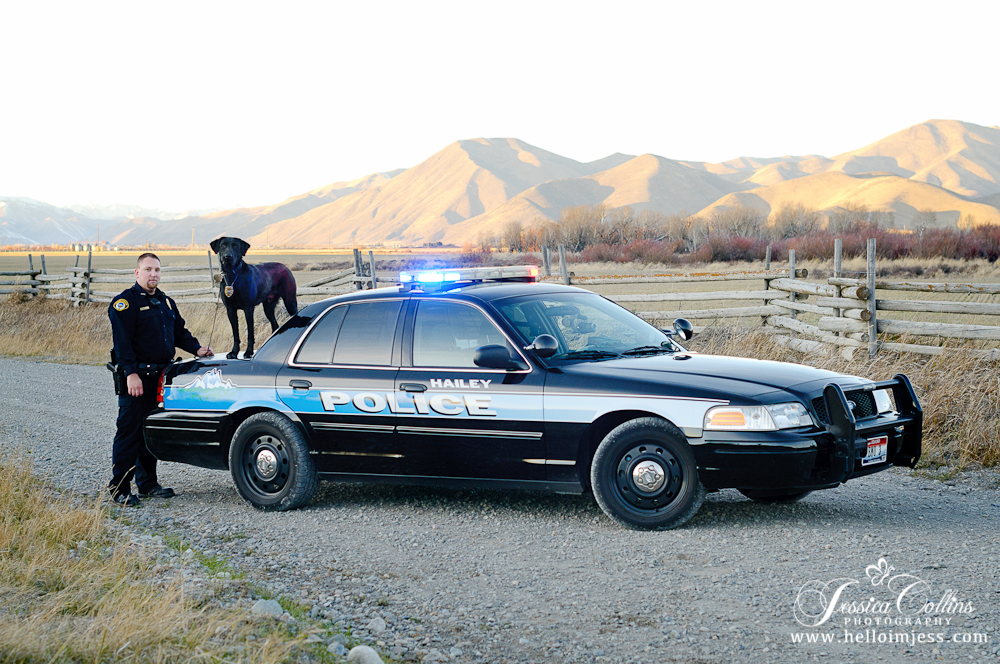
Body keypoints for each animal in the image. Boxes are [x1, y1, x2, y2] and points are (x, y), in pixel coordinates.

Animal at [107, 252, 213, 506]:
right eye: (148, 269)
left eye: (155, 269)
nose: (153, 275)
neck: (149, 293)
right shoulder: (121, 310)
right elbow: (124, 339)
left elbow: (179, 330)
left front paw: (201, 350)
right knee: (127, 435)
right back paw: (121, 492)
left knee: (144, 446)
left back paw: (151, 487)